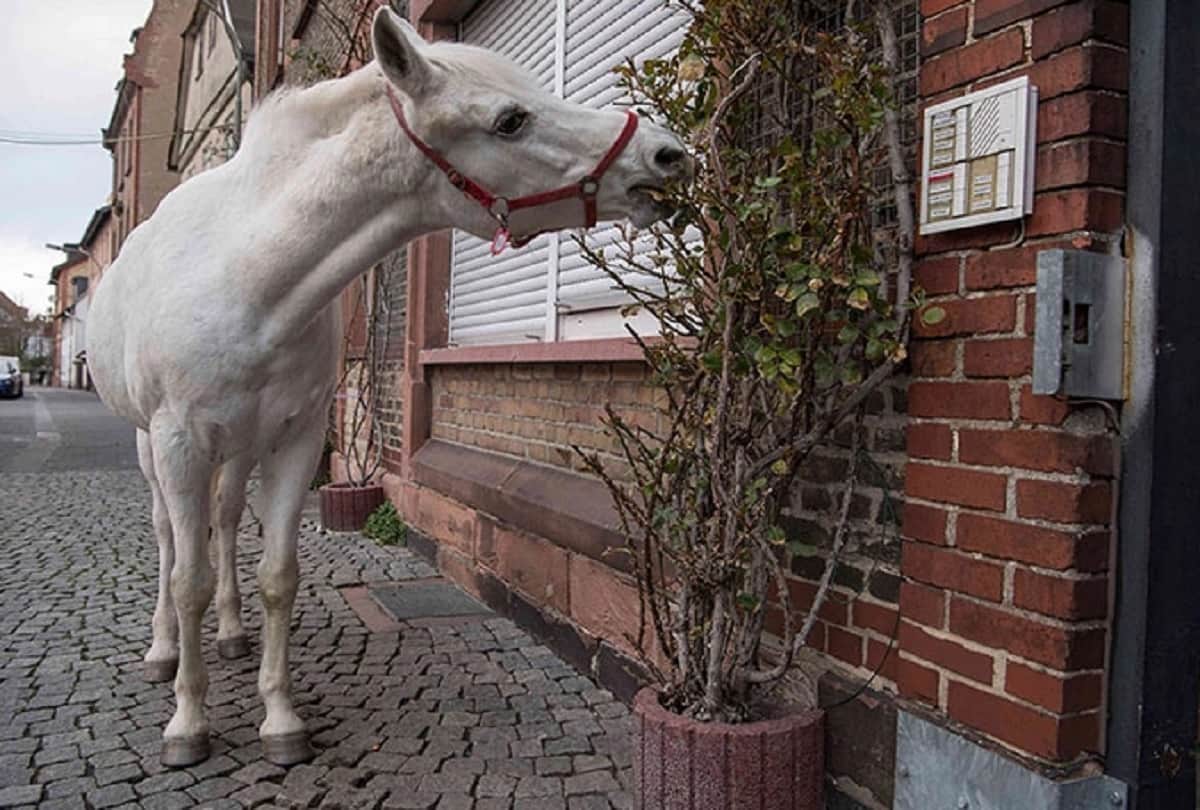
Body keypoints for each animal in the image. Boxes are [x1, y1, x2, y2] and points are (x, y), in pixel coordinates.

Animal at [86, 7, 689, 768]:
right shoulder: (179, 442)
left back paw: (229, 633)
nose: (667, 154)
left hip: (241, 447)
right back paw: (166, 651)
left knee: (223, 522)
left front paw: (279, 716)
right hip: (153, 447)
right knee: (170, 540)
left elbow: (277, 577)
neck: (247, 280)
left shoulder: (293, 440)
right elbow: (185, 578)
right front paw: (188, 721)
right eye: (510, 119)